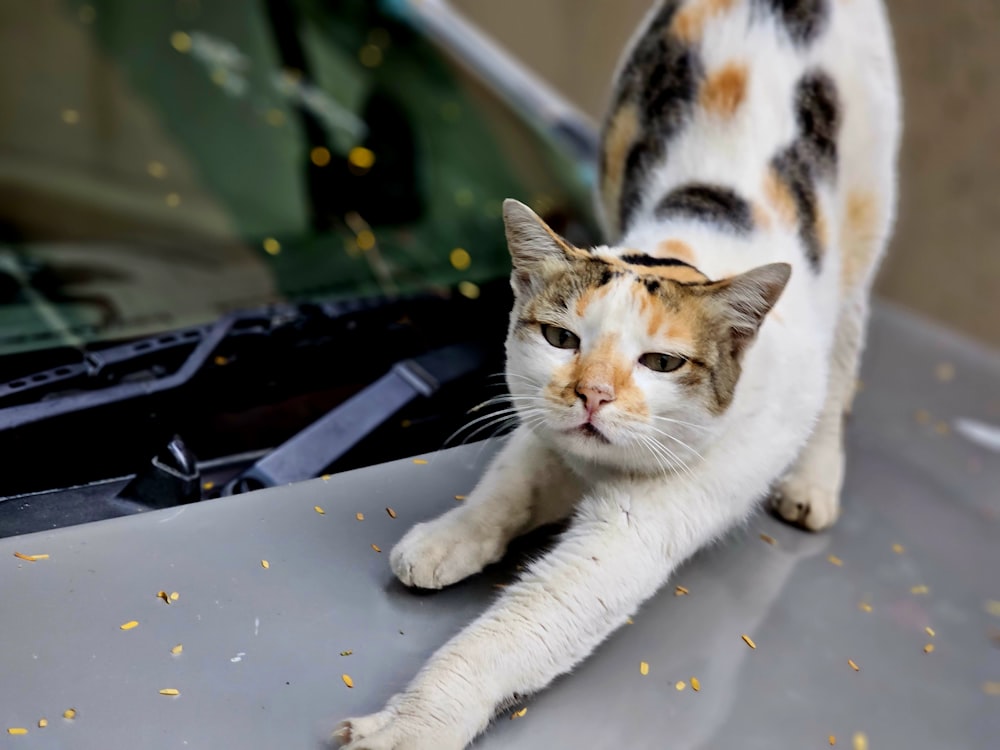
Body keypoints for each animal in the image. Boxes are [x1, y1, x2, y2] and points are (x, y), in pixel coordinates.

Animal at [334, 2, 900, 748]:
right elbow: (509, 482)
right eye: (560, 338)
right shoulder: (543, 431)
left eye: (661, 362)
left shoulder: (635, 530)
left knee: (843, 357)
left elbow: (512, 633)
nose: (592, 395)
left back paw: (813, 479)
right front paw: (450, 537)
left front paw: (412, 726)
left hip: (864, 218)